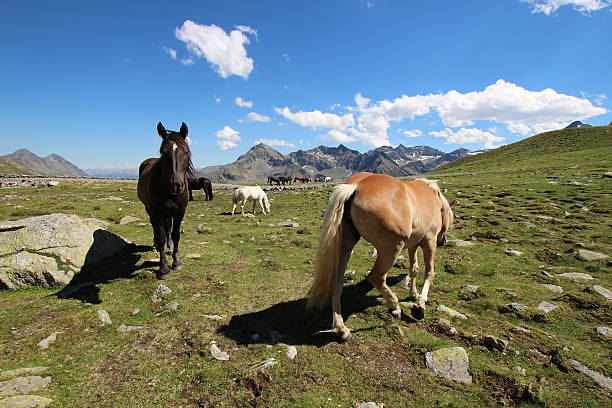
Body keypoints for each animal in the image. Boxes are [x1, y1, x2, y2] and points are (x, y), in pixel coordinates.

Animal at [137, 122, 195, 280]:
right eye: (163, 153)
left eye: (186, 152)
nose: (176, 185)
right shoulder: (156, 212)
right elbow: (161, 236)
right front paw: (163, 268)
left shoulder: (180, 211)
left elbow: (175, 235)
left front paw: (176, 262)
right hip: (149, 210)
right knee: (155, 227)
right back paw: (155, 245)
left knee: (167, 227)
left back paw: (169, 246)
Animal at [306, 171, 454, 342]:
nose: (443, 241)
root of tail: (356, 186)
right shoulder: (429, 241)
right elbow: (429, 272)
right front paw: (420, 305)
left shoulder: (413, 245)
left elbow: (414, 269)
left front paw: (413, 294)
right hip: (392, 248)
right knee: (377, 277)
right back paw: (394, 307)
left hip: (345, 245)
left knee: (337, 282)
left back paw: (342, 329)